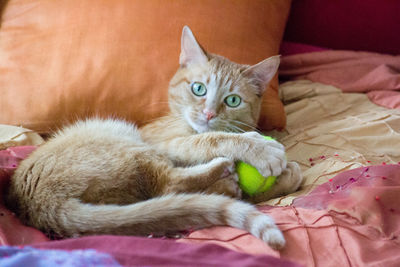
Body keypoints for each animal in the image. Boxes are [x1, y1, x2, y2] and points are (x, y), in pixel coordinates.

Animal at [6, 26, 302, 250]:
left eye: (232, 100)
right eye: (198, 88)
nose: (207, 113)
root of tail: (40, 204)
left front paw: (283, 177)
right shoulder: (165, 141)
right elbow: (212, 139)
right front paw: (260, 148)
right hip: (123, 140)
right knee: (166, 184)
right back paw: (223, 172)